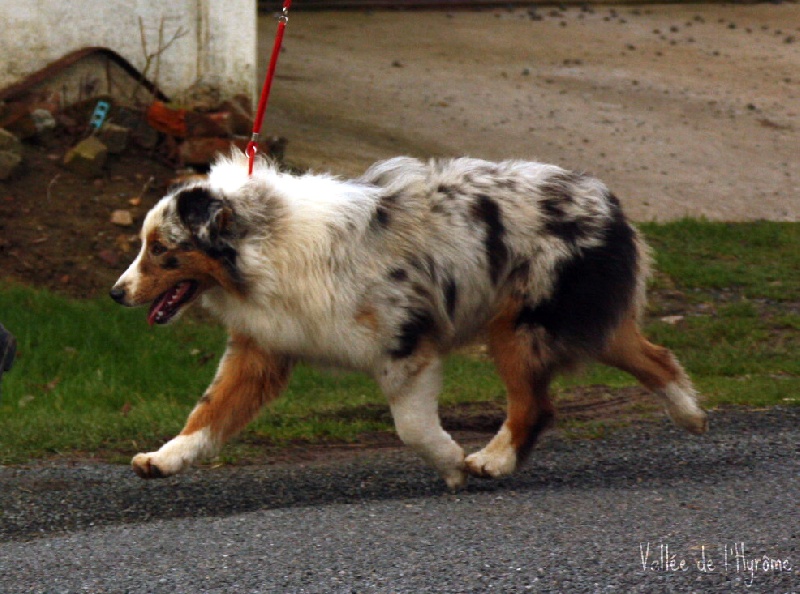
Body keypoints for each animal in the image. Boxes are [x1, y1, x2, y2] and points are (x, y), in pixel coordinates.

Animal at [111, 151, 708, 486]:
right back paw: (691, 414)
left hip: (520, 325)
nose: (117, 293)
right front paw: (163, 460)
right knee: (655, 356)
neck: (266, 241)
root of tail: (608, 201)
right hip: (578, 320)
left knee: (535, 405)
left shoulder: (404, 345)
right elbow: (208, 413)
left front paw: (452, 467)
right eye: (146, 246)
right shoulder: (263, 347)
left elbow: (412, 428)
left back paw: (492, 461)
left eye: (160, 250)